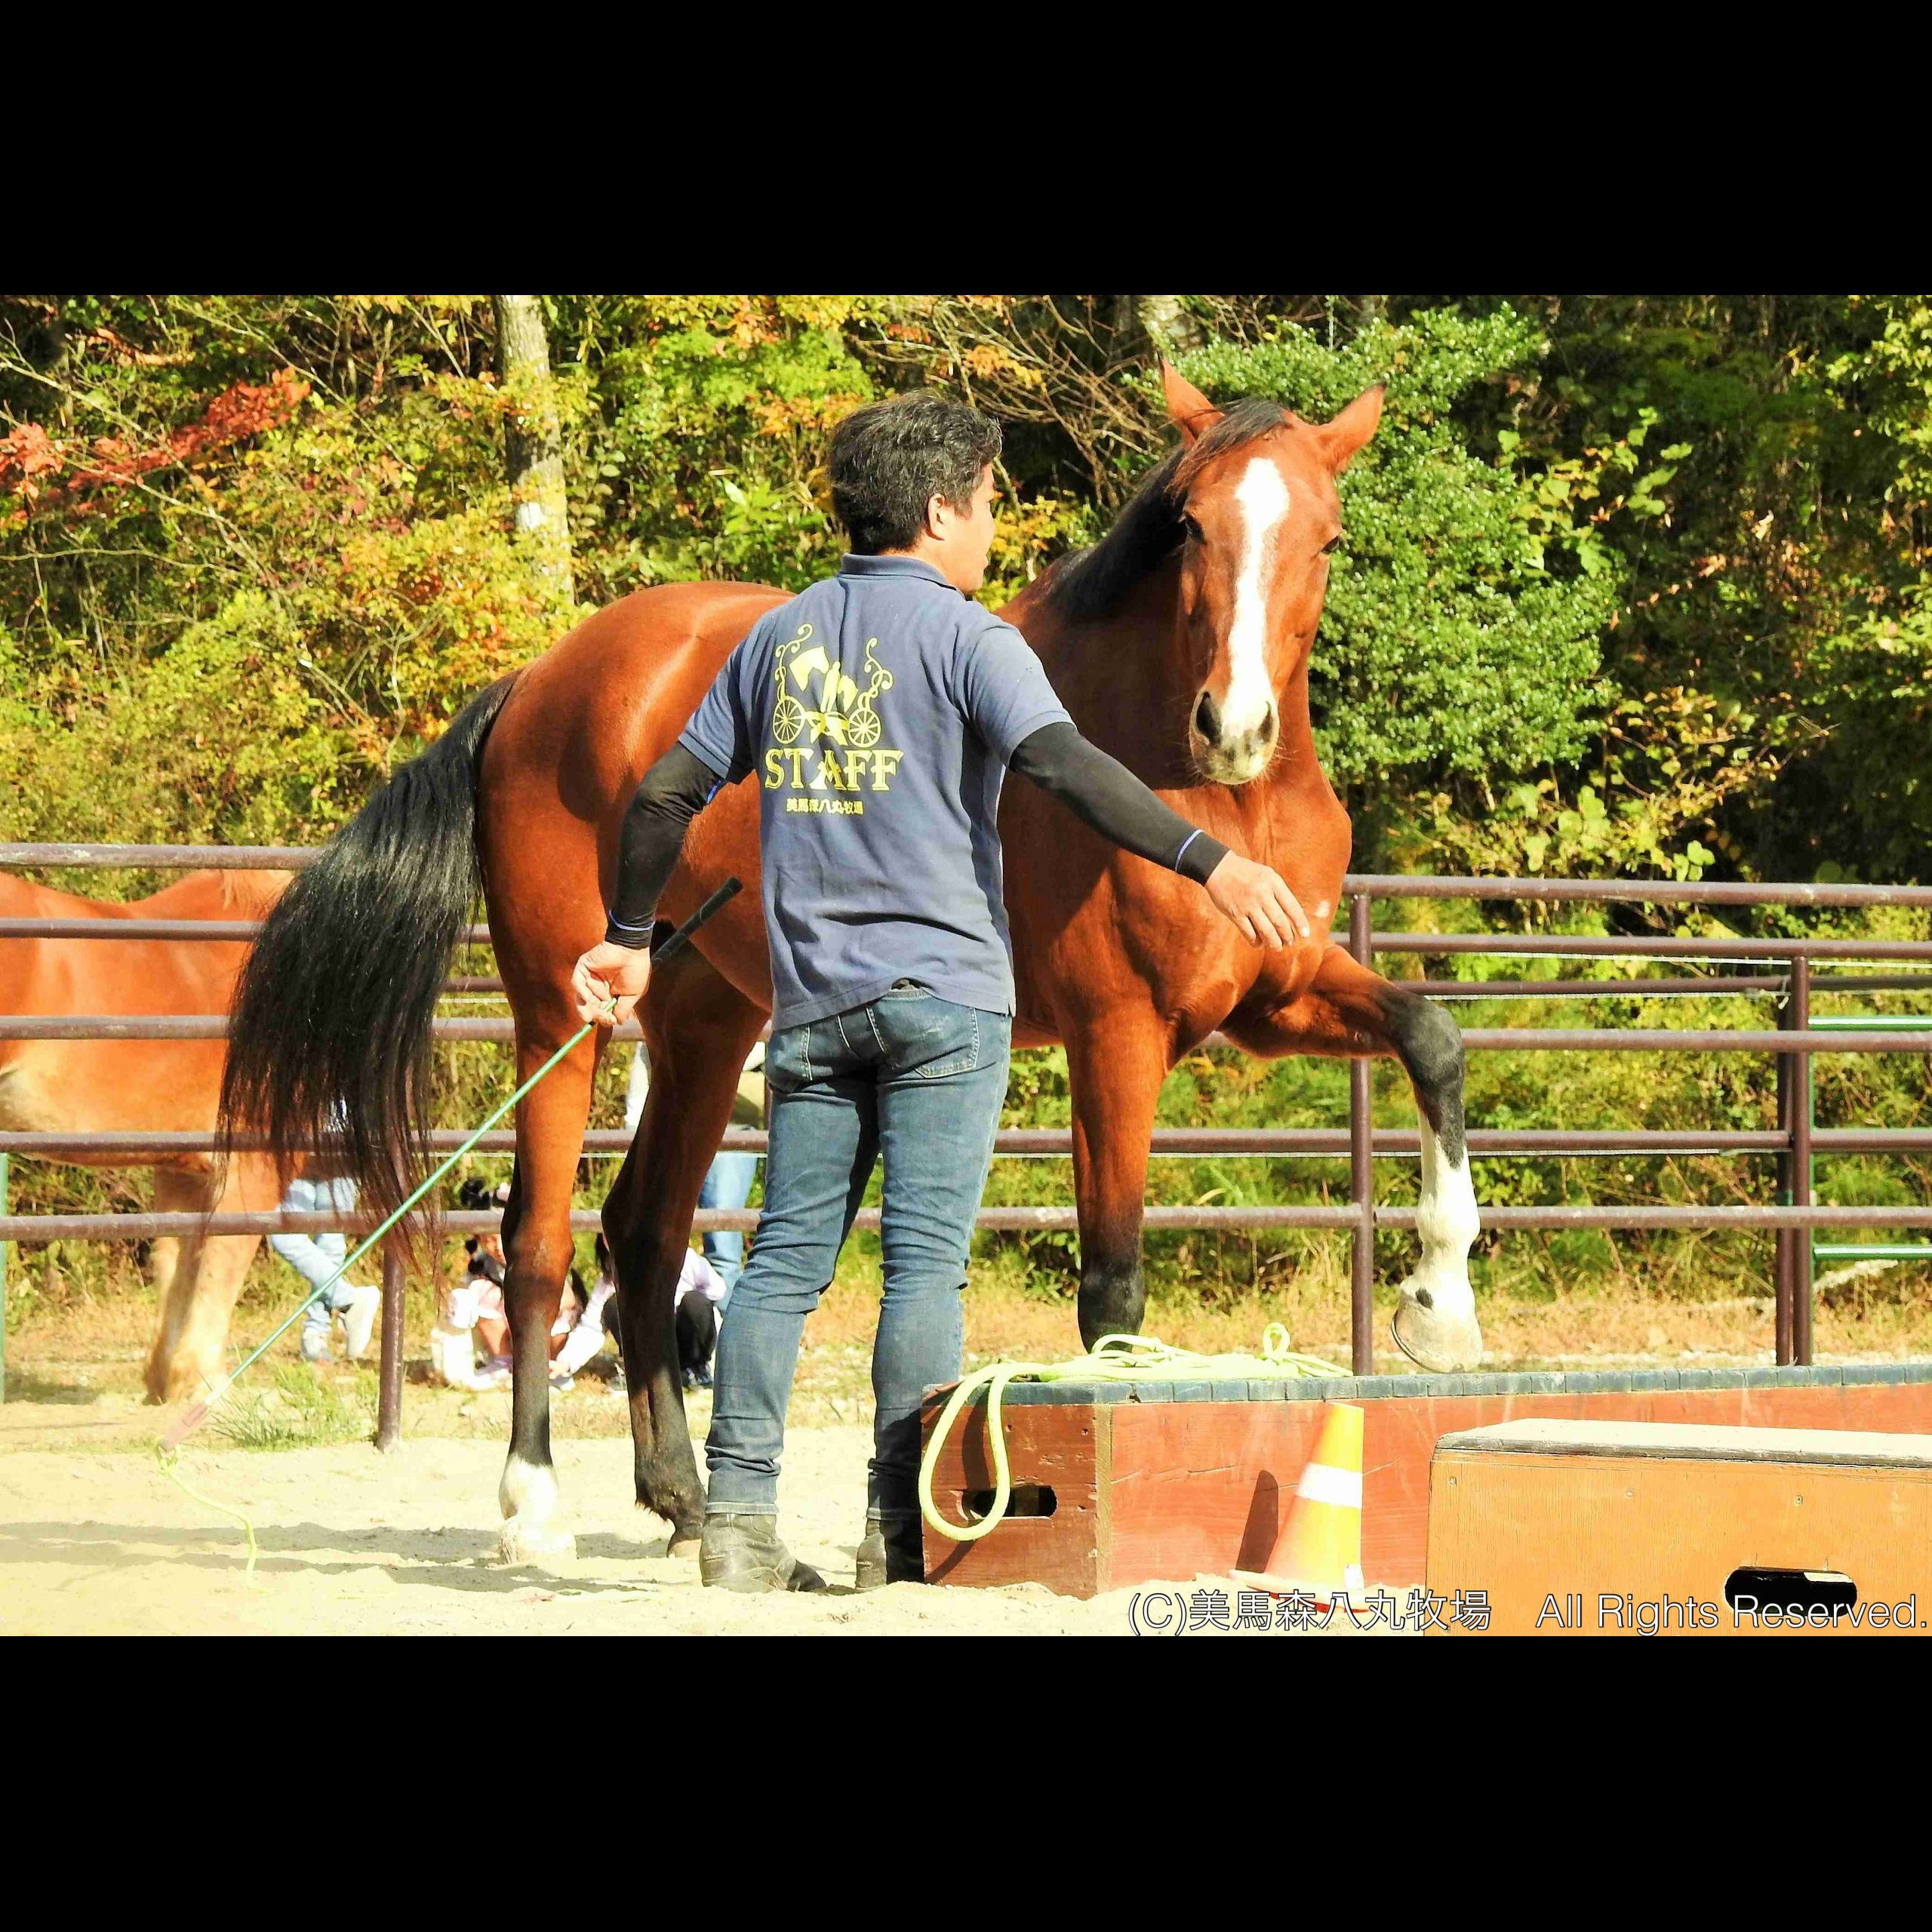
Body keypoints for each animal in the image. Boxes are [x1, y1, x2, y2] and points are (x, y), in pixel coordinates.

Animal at [0, 867, 290, 1400]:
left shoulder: (186, 1170)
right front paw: (206, 1385)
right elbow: (223, 1264)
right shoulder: (253, 1164)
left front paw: (166, 1384)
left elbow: (179, 1267)